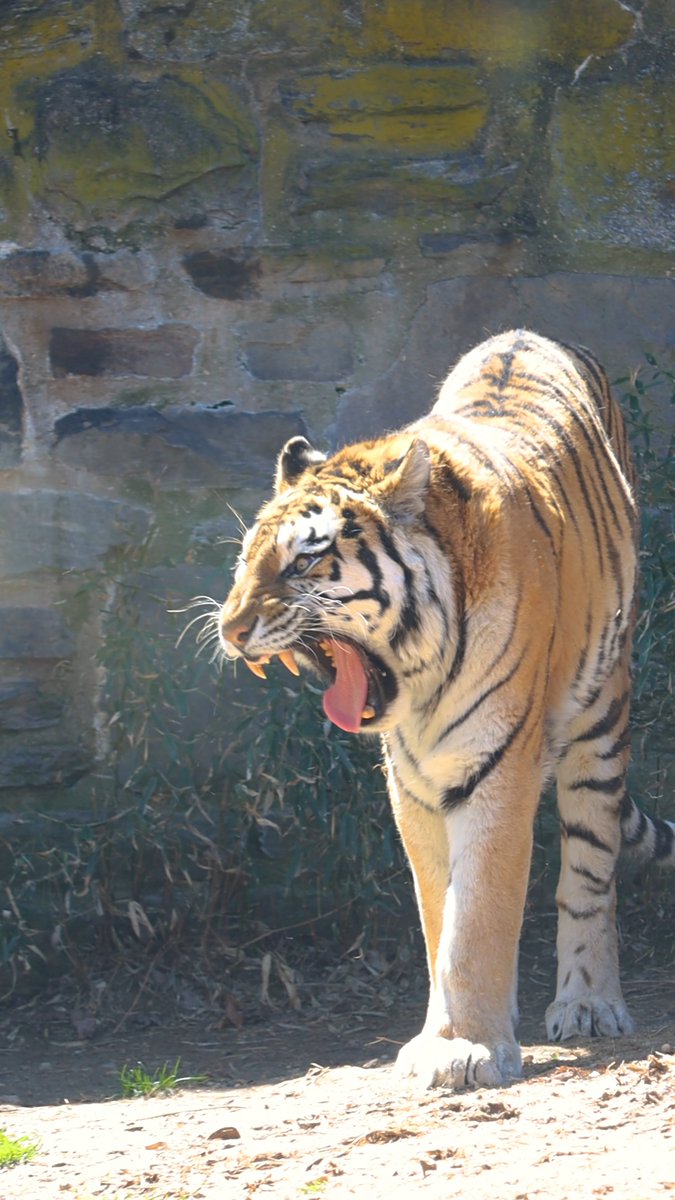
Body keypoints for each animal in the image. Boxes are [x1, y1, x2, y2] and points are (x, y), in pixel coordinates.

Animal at [216, 329, 675, 1090]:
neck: (419, 681)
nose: (228, 629)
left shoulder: (494, 769)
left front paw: (466, 1048)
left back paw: (586, 1003)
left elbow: (478, 915)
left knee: (588, 873)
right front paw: (444, 1032)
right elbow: (440, 916)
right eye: (245, 559)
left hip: (602, 718)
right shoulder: (413, 786)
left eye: (303, 562)